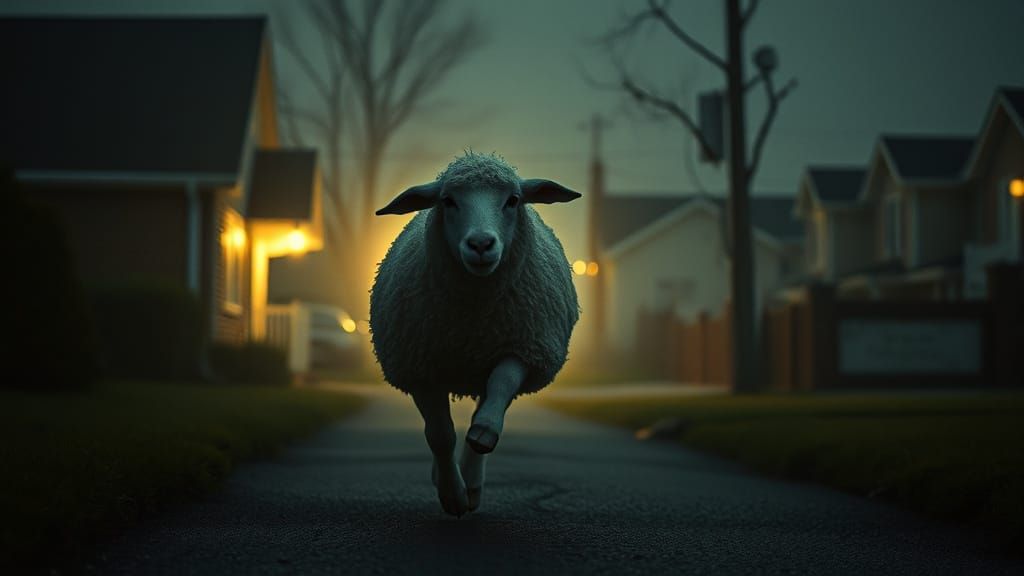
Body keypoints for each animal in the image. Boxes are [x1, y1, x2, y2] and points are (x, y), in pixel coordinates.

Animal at [369, 151, 580, 517]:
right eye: (447, 201)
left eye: (513, 200)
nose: (481, 244)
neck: (473, 318)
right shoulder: (419, 366)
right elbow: (440, 435)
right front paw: (452, 496)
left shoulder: (526, 348)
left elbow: (502, 386)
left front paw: (483, 435)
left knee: (488, 401)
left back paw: (474, 478)